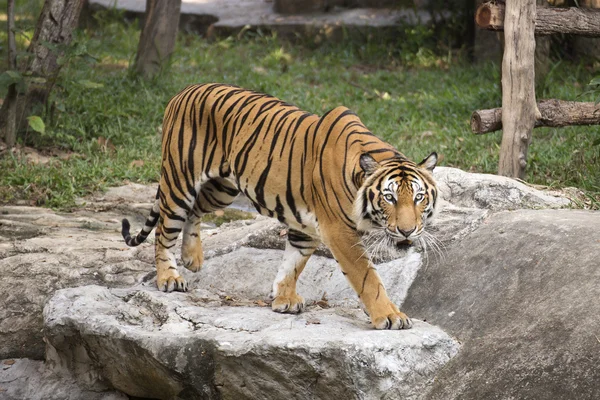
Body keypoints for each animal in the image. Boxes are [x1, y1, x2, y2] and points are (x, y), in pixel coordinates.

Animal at [120, 83, 436, 330]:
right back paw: (169, 277)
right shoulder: (339, 232)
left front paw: (283, 299)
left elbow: (293, 263)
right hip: (180, 181)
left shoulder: (306, 226)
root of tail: (182, 91)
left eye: (418, 198)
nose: (407, 231)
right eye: (389, 198)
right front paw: (391, 316)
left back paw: (192, 258)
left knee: (195, 211)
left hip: (222, 189)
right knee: (164, 230)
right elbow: (368, 278)